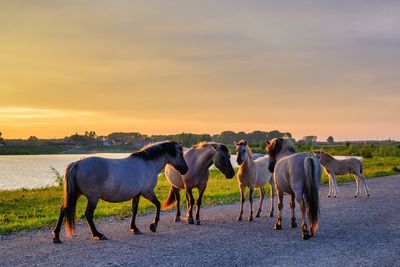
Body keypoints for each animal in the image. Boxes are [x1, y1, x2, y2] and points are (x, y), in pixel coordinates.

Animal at [51, 141, 188, 244]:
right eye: (181, 154)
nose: (185, 170)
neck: (147, 164)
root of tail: (77, 164)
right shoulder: (147, 192)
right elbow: (158, 205)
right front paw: (153, 226)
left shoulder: (137, 194)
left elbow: (134, 210)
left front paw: (134, 228)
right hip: (92, 198)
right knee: (88, 214)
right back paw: (98, 234)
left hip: (77, 194)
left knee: (63, 210)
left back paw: (56, 236)